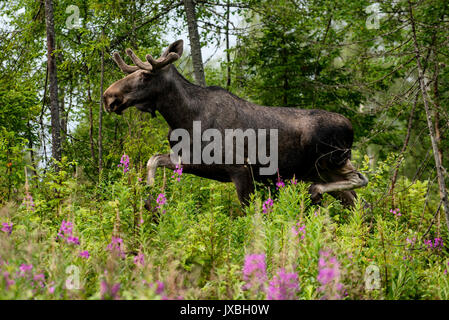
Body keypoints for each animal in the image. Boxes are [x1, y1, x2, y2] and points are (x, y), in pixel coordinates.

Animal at [102, 39, 368, 208]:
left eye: (145, 75)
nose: (108, 97)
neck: (184, 119)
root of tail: (351, 127)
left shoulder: (241, 169)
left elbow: (247, 214)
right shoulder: (195, 162)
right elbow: (153, 159)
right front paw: (148, 198)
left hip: (332, 160)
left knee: (360, 181)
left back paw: (317, 193)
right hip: (322, 170)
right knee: (356, 201)